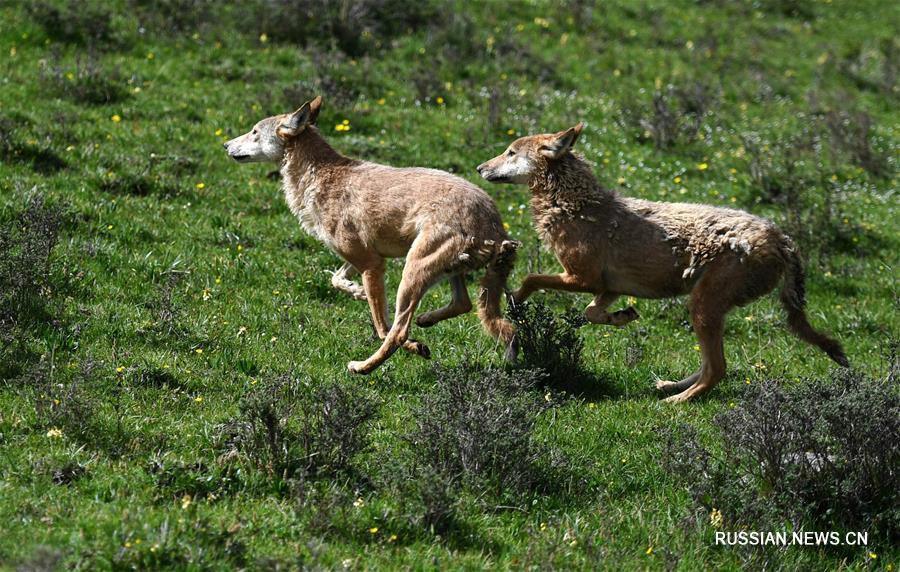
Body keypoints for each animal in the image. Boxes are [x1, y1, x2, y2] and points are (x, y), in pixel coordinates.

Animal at [222, 96, 516, 374]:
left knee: (397, 332)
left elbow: (381, 326)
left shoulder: (371, 263)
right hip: (447, 272)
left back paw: (362, 367)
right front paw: (357, 292)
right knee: (464, 305)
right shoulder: (362, 259)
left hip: (412, 273)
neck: (318, 176)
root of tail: (496, 226)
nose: (225, 145)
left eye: (254, 131)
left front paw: (408, 342)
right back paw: (427, 320)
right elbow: (336, 280)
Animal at [478, 124, 852, 402]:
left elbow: (531, 278)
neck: (574, 207)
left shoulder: (581, 278)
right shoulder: (608, 287)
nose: (479, 167)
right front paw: (621, 317)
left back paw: (677, 400)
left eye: (510, 152)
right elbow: (592, 313)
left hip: (701, 309)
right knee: (710, 365)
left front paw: (515, 301)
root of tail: (782, 238)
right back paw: (670, 386)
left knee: (718, 369)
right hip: (704, 310)